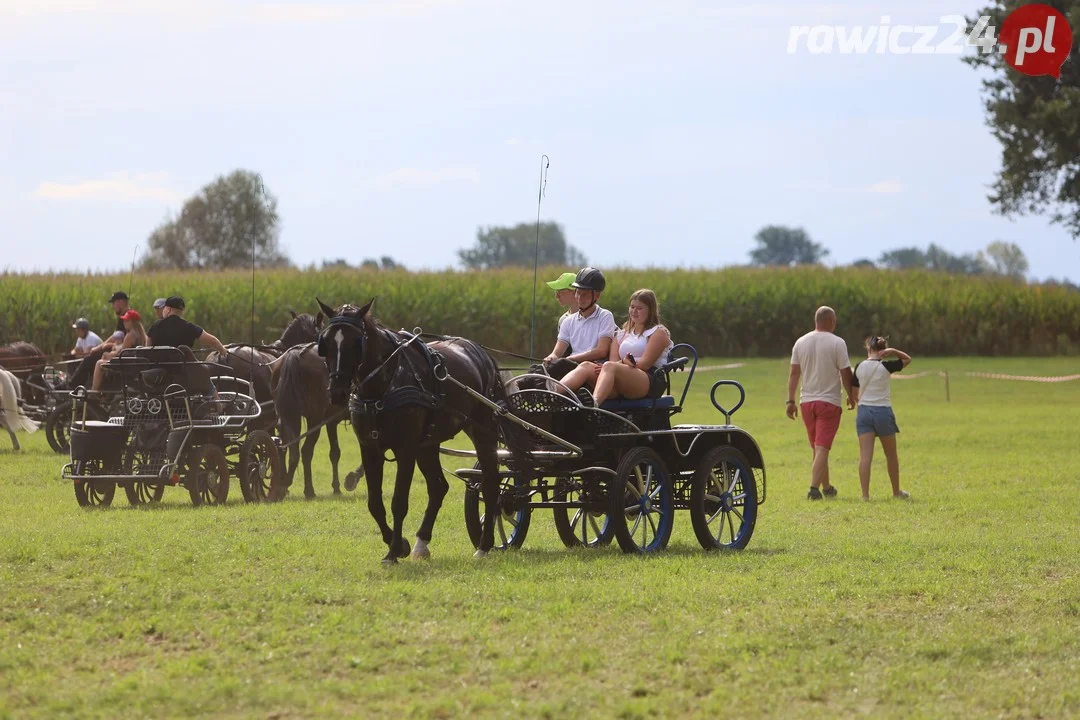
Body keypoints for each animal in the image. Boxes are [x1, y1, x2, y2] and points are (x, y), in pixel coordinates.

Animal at [313, 297, 505, 561]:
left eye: (355, 342)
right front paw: (400, 544)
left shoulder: (405, 449)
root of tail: (482, 355)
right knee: (438, 487)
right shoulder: (369, 448)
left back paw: (484, 546)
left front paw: (393, 551)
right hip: (427, 444)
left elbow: (399, 502)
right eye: (326, 342)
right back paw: (421, 543)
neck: (382, 386)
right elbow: (374, 503)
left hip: (482, 430)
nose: (337, 392)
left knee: (490, 483)